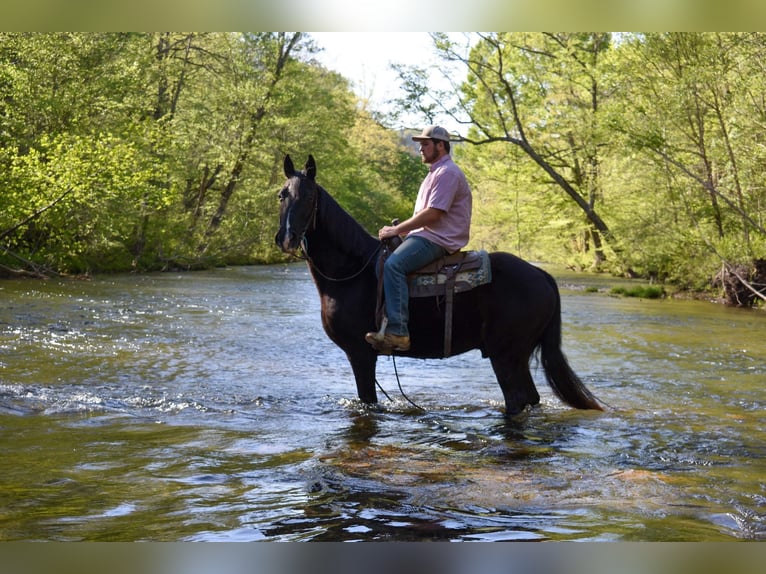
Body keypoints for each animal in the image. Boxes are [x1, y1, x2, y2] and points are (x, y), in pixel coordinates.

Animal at [276, 155, 608, 416]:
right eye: (281, 195)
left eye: (309, 198)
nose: (286, 238)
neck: (352, 272)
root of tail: (542, 275)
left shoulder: (361, 353)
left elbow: (368, 401)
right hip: (518, 355)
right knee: (532, 399)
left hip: (506, 354)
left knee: (516, 400)